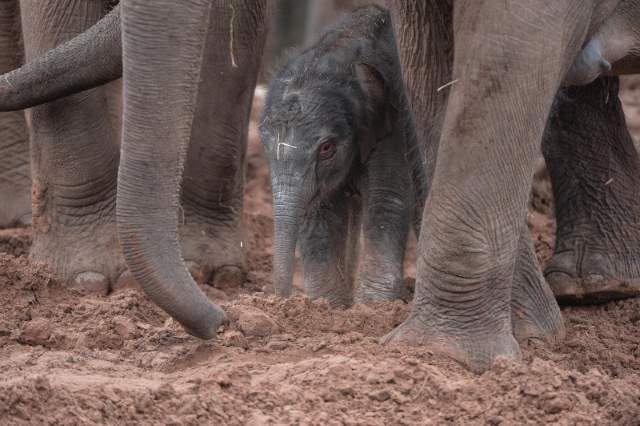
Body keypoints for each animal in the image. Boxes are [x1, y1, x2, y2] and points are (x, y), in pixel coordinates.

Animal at [258, 5, 422, 308]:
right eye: (264, 143)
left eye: (327, 148)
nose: (278, 300)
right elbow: (319, 212)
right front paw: (329, 307)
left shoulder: (394, 124)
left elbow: (386, 199)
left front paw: (373, 308)